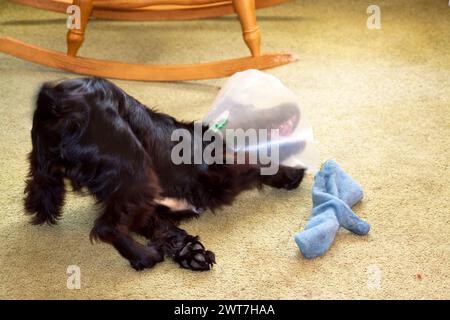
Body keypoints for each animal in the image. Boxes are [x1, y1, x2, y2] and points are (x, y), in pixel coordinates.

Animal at [24, 77, 306, 270]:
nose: (294, 105)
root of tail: (55, 101)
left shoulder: (153, 211)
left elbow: (167, 231)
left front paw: (191, 253)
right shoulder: (219, 174)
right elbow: (259, 163)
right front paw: (293, 172)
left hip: (44, 166)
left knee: (40, 190)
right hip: (135, 167)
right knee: (105, 227)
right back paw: (145, 256)